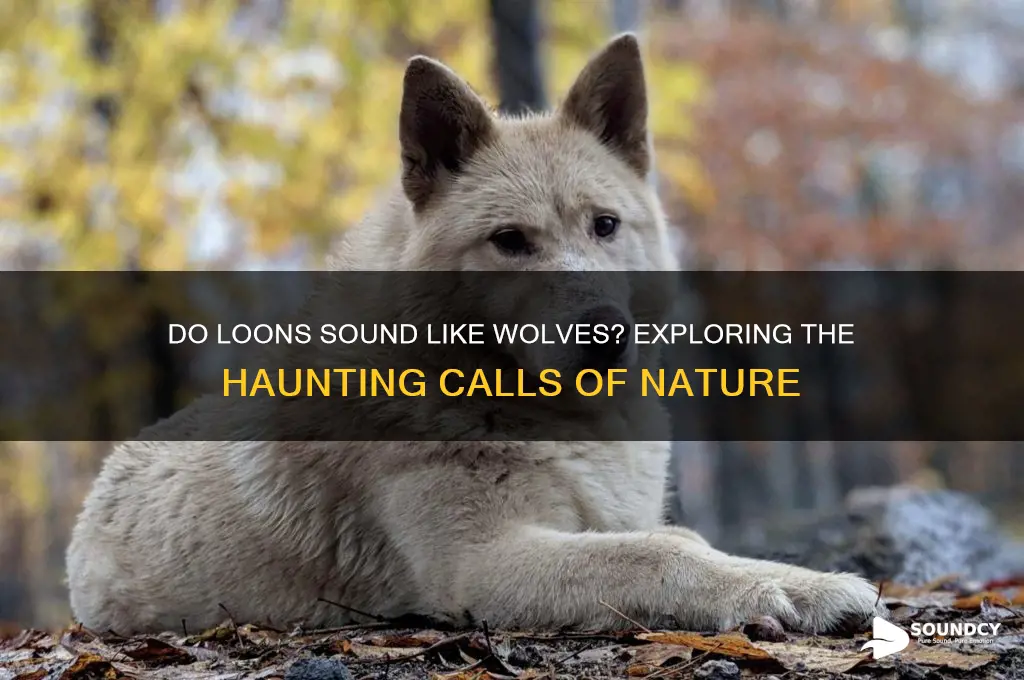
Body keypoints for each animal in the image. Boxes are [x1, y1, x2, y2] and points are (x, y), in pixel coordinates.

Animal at [66, 34, 883, 635]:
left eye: (605, 225)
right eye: (509, 241)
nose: (606, 334)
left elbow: (669, 539)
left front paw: (803, 582)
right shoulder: (480, 565)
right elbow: (656, 553)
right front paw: (791, 590)